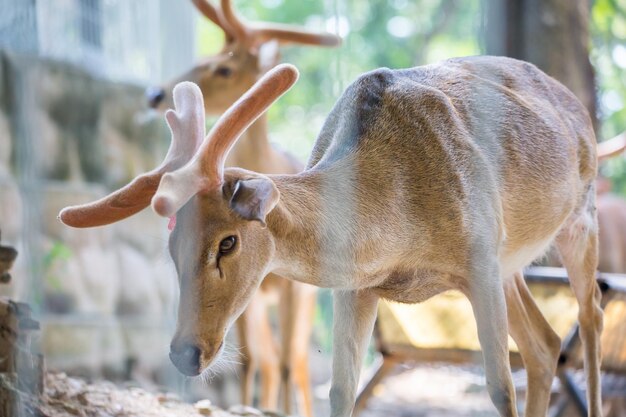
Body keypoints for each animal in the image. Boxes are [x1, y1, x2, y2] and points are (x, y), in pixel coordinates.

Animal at [61, 58, 604, 416]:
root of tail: (577, 106)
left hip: (581, 217)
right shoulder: (357, 287)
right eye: (171, 248)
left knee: (590, 315)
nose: (184, 353)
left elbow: (498, 386)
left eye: (227, 242)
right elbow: (341, 391)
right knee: (544, 343)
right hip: (512, 263)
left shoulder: (479, 259)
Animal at [146, 1, 338, 414]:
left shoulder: (293, 286)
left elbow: (288, 363)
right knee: (269, 361)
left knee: (297, 362)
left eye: (225, 67)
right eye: (203, 57)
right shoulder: (251, 291)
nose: (155, 93)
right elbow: (252, 360)